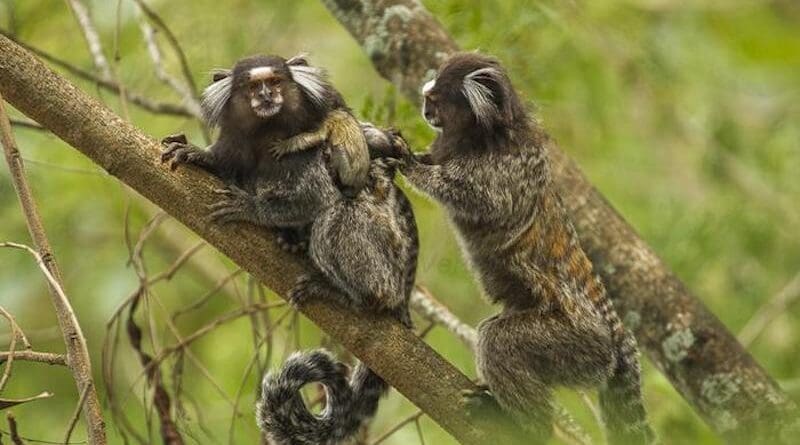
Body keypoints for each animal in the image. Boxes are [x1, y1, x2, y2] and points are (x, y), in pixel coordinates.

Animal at [159, 54, 418, 445]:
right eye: (253, 86)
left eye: (276, 82)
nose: (267, 96)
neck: (266, 134)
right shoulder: (235, 144)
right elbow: (224, 165)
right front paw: (194, 154)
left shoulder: (307, 149)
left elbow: (319, 197)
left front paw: (252, 208)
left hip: (388, 257)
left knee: (339, 215)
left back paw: (352, 294)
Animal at [384, 52, 655, 444]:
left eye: (434, 100)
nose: (425, 111)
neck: (483, 137)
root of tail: (617, 333)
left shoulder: (510, 169)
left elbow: (483, 199)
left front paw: (408, 164)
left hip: (579, 344)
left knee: (499, 343)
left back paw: (525, 426)